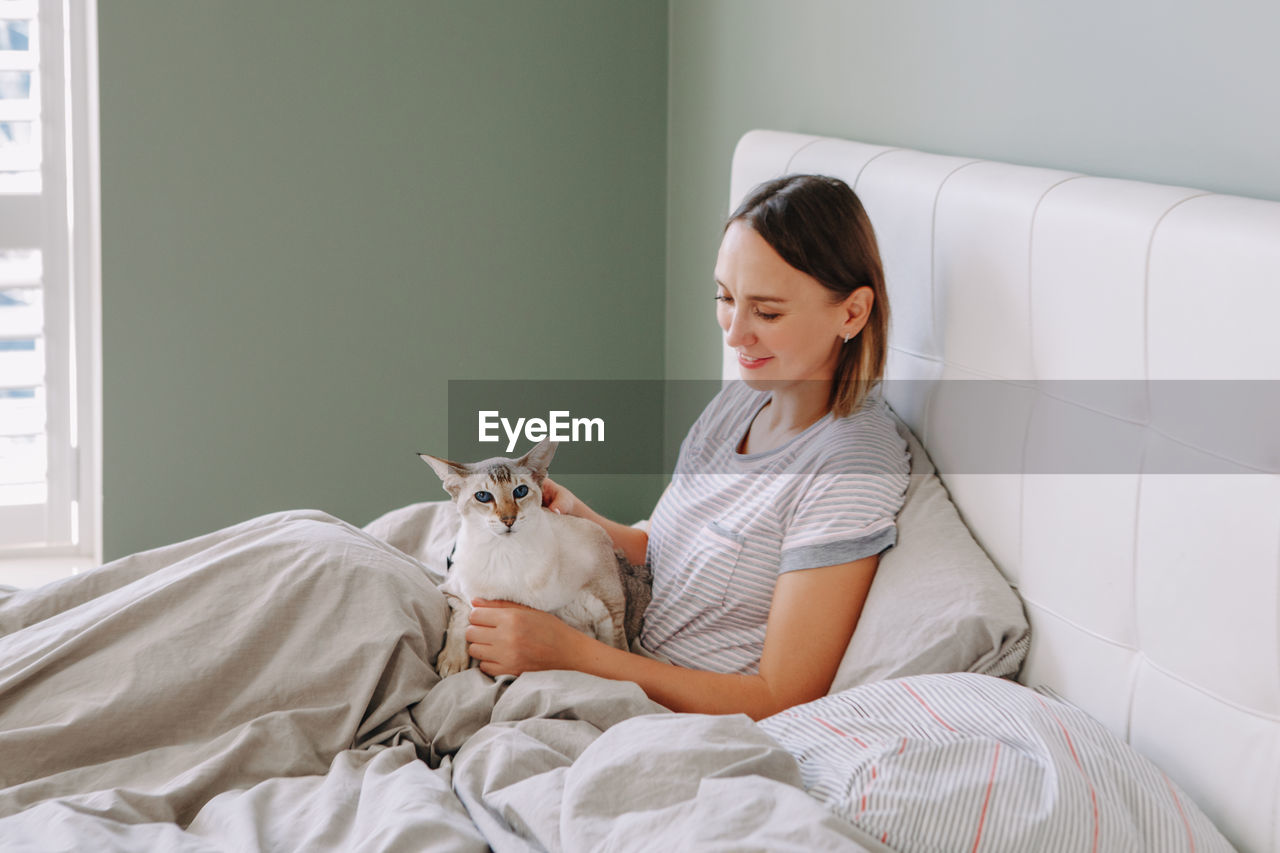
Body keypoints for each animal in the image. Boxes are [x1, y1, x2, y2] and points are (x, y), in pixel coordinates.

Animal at [422, 435, 632, 676]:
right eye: (483, 496)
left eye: (520, 491)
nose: (508, 520)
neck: (503, 554)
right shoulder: (454, 590)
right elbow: (460, 617)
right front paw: (453, 660)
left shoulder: (605, 605)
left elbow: (617, 653)